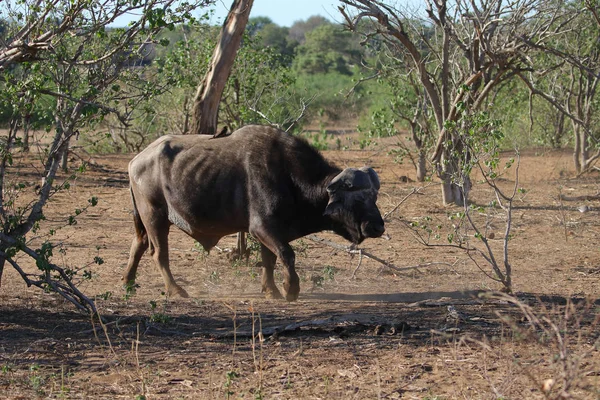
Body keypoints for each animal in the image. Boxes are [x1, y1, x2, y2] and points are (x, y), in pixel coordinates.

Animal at [123, 125, 384, 300]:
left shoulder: (269, 231)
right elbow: (287, 254)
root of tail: (136, 160)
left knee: (138, 245)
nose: (378, 227)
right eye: (358, 198)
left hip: (144, 222)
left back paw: (128, 282)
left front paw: (271, 290)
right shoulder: (262, 228)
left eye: (374, 197)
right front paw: (290, 289)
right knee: (159, 254)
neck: (289, 176)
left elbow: (269, 259)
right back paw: (175, 290)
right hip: (155, 217)